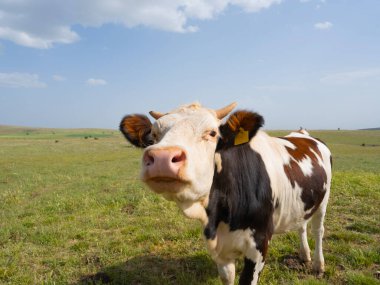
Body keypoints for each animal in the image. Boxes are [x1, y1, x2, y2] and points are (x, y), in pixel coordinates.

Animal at [120, 102, 332, 284]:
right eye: (154, 135)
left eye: (212, 133)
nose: (162, 157)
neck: (220, 216)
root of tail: (302, 134)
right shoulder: (220, 251)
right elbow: (227, 277)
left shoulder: (259, 245)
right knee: (302, 225)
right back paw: (304, 255)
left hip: (324, 199)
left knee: (318, 230)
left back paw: (318, 265)